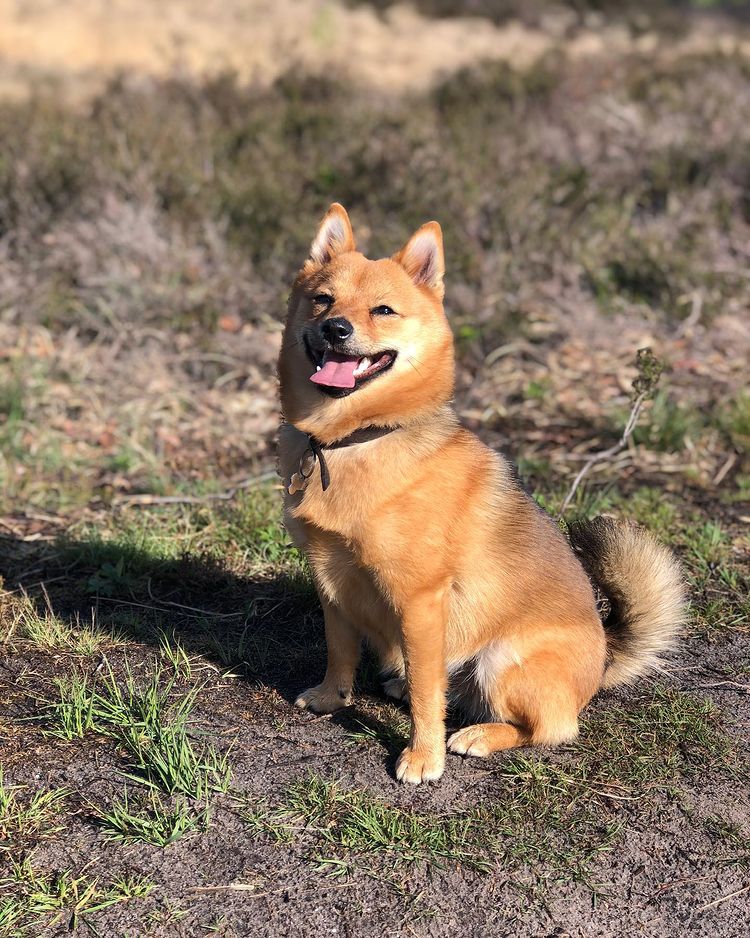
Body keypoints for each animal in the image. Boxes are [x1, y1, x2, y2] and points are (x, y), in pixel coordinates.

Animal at [278, 203, 688, 784]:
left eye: (383, 310)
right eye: (322, 299)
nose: (336, 328)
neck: (355, 438)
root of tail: (602, 662)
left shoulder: (421, 600)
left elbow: (428, 694)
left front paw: (423, 756)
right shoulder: (330, 578)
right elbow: (341, 651)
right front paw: (332, 698)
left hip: (501, 661)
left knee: (550, 729)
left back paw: (477, 735)